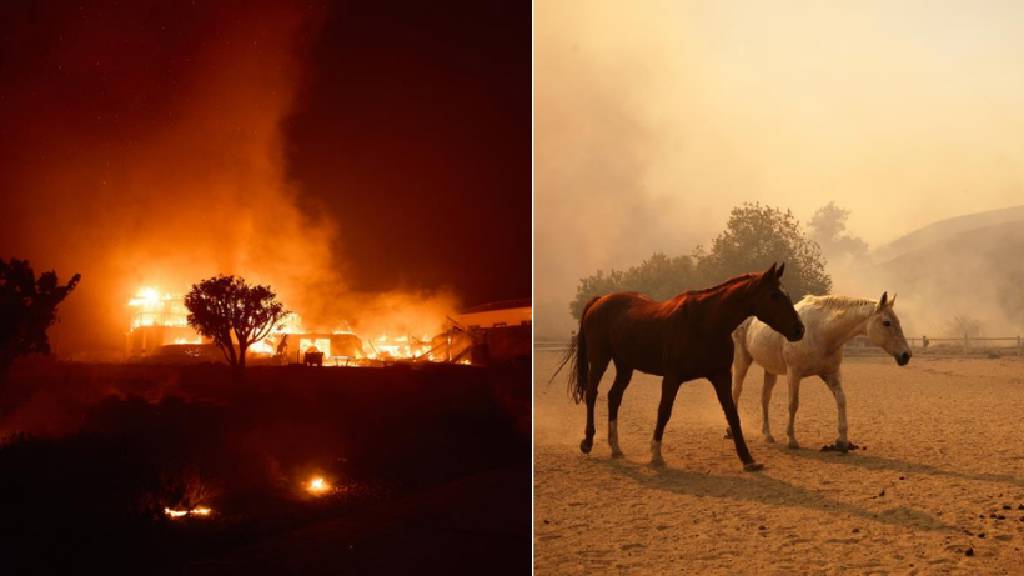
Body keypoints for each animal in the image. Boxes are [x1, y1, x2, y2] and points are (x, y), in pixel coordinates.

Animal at [565, 262, 802, 469]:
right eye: (774, 295)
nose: (799, 329)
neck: (705, 322)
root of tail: (599, 300)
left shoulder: (720, 375)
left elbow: (732, 413)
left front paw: (748, 459)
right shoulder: (672, 377)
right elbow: (664, 411)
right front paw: (656, 455)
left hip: (625, 366)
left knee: (614, 397)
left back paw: (615, 447)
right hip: (599, 359)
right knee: (592, 394)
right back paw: (587, 442)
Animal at [729, 291, 913, 448]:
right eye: (886, 322)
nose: (906, 354)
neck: (820, 331)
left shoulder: (830, 374)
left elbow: (841, 400)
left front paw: (842, 441)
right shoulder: (794, 374)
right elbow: (793, 404)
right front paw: (792, 439)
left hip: (770, 369)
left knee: (765, 398)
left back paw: (767, 434)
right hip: (742, 361)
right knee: (736, 391)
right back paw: (731, 432)